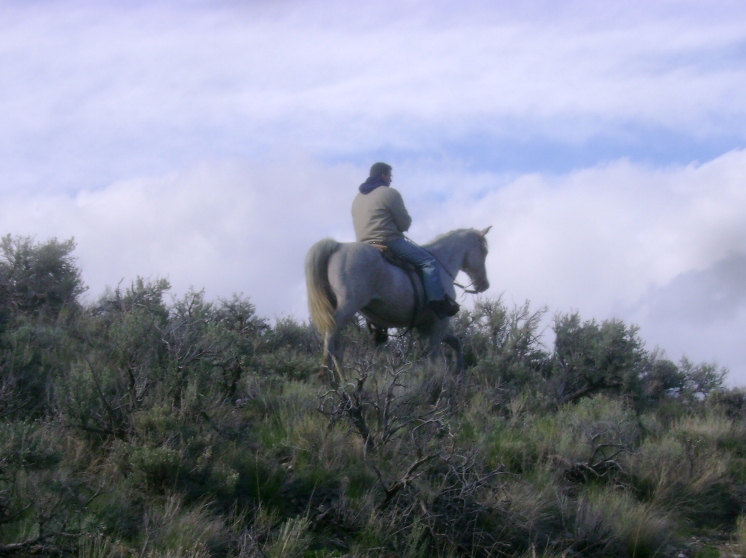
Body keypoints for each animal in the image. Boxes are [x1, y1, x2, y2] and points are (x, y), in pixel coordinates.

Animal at [302, 228, 488, 380]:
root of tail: (338, 246)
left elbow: (454, 342)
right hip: (347, 307)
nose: (484, 284)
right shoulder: (439, 323)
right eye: (484, 251)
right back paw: (325, 373)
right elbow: (434, 354)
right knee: (331, 332)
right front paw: (437, 378)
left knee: (336, 345)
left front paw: (458, 371)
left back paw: (343, 380)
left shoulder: (426, 326)